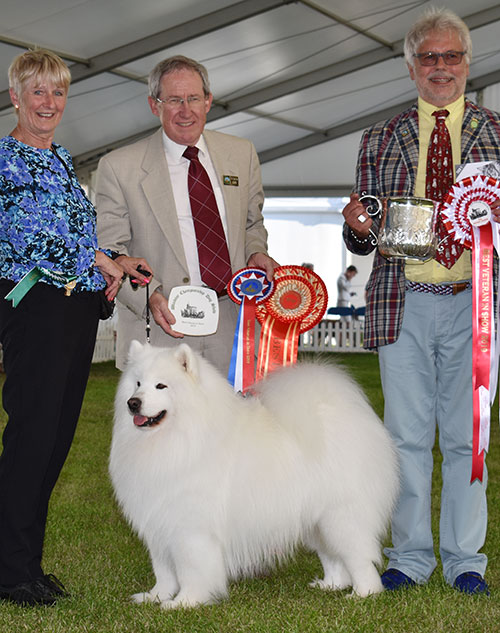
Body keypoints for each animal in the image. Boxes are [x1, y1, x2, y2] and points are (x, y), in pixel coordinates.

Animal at [109, 340, 398, 608]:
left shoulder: (190, 529)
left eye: (161, 386)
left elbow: (191, 570)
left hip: (340, 517)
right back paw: (331, 585)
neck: (181, 436)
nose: (133, 403)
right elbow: (164, 571)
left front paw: (185, 602)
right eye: (137, 384)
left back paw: (363, 593)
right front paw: (155, 596)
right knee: (332, 556)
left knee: (359, 557)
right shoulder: (159, 524)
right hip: (316, 521)